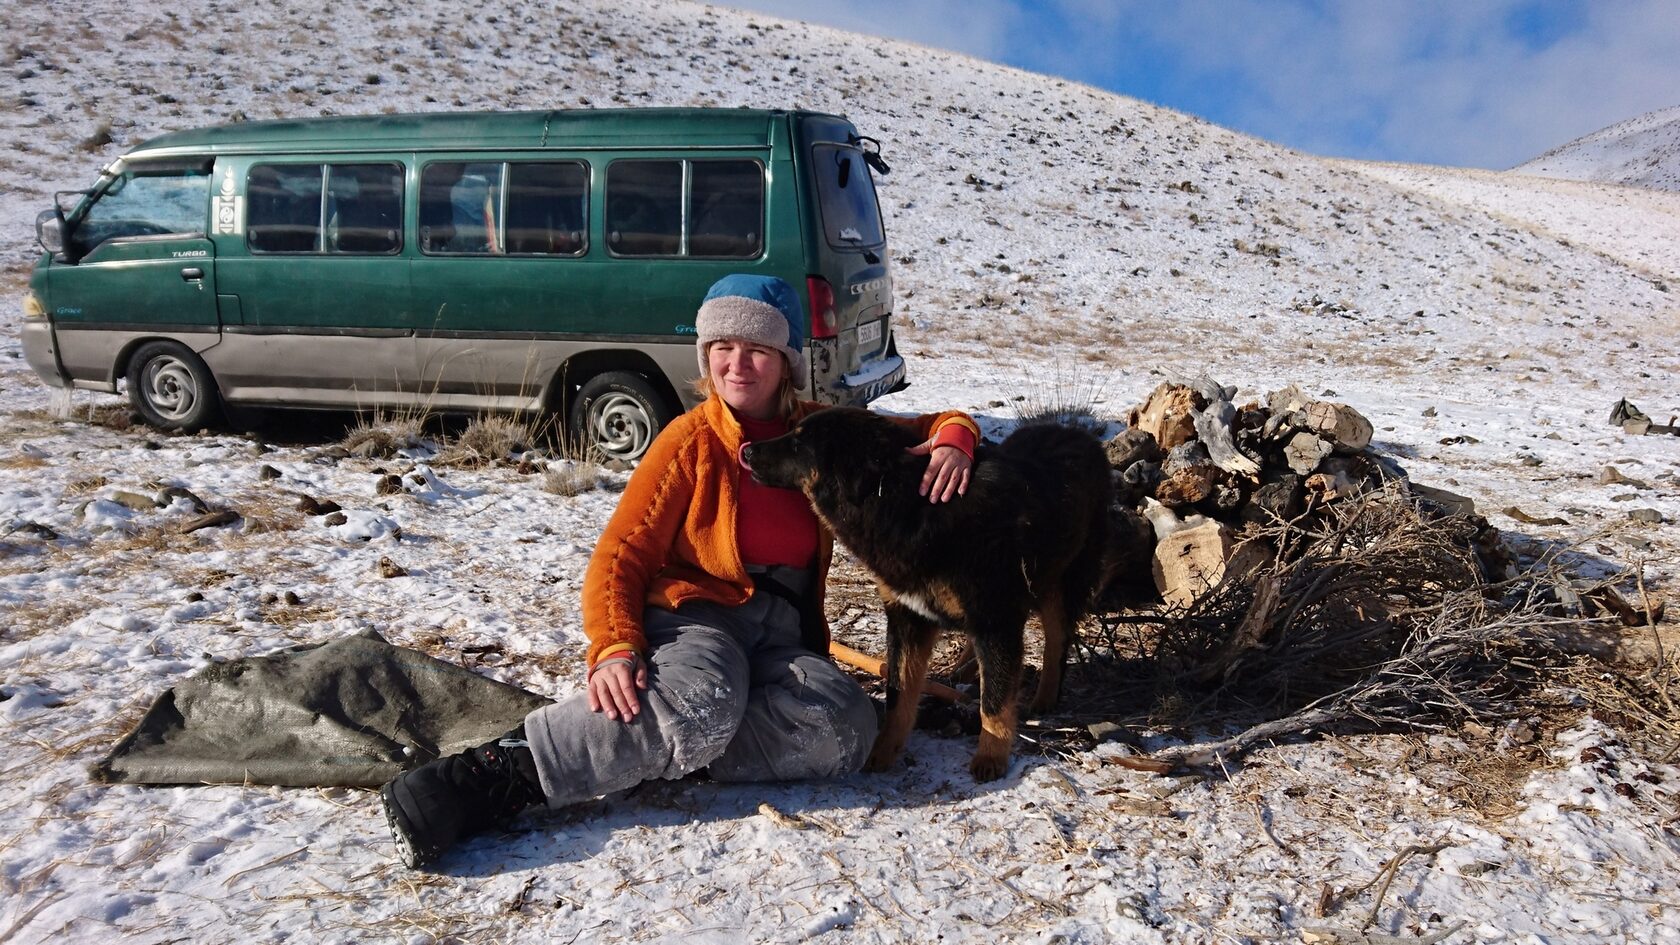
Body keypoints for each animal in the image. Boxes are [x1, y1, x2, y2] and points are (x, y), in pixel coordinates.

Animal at [739, 406, 1108, 780]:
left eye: (799, 442)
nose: (748, 451)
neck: (904, 502)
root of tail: (1079, 433)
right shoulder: (908, 616)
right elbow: (899, 694)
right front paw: (883, 751)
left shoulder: (995, 617)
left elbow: (994, 702)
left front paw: (991, 757)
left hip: (1060, 580)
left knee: (1057, 640)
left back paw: (1046, 696)